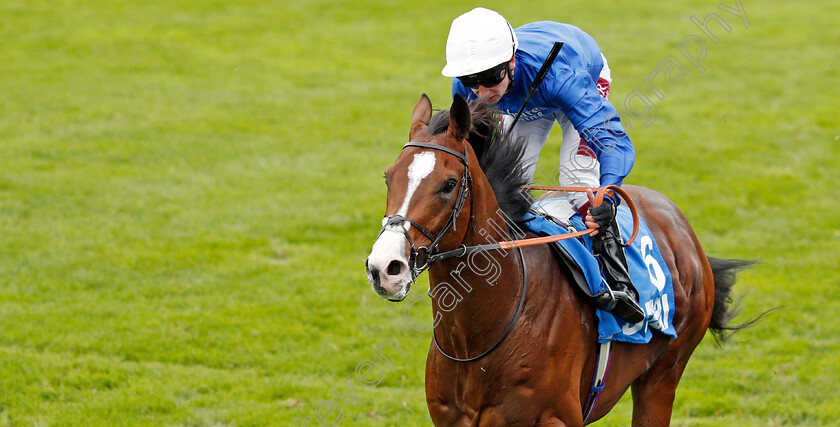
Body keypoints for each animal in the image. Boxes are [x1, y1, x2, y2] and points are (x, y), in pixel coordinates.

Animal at [366, 95, 756, 426]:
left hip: (663, 376)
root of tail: (682, 227)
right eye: (388, 176)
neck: (479, 336)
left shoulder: (555, 417)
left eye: (448, 184)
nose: (384, 267)